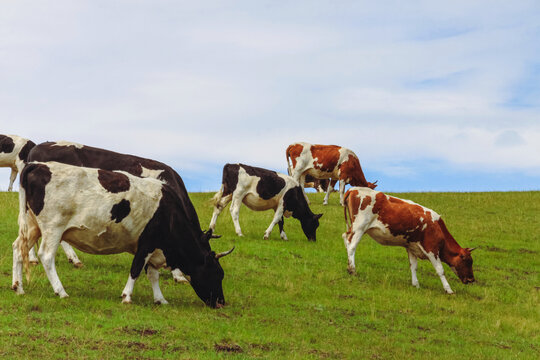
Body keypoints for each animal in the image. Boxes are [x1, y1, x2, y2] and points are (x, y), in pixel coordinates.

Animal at [11, 162, 233, 306]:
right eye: (217, 273)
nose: (221, 302)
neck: (169, 212)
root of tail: (38, 165)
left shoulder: (153, 248)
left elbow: (152, 274)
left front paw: (160, 299)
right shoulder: (146, 244)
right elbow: (136, 270)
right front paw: (127, 296)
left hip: (32, 227)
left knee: (18, 249)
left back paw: (18, 287)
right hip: (53, 228)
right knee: (46, 256)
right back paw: (61, 291)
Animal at [344, 187, 474, 294]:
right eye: (468, 261)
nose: (472, 279)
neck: (437, 226)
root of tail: (353, 189)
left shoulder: (411, 247)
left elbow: (413, 266)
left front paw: (416, 284)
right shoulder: (431, 248)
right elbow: (440, 270)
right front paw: (448, 289)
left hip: (354, 228)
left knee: (345, 239)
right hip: (359, 227)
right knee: (352, 246)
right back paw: (352, 270)